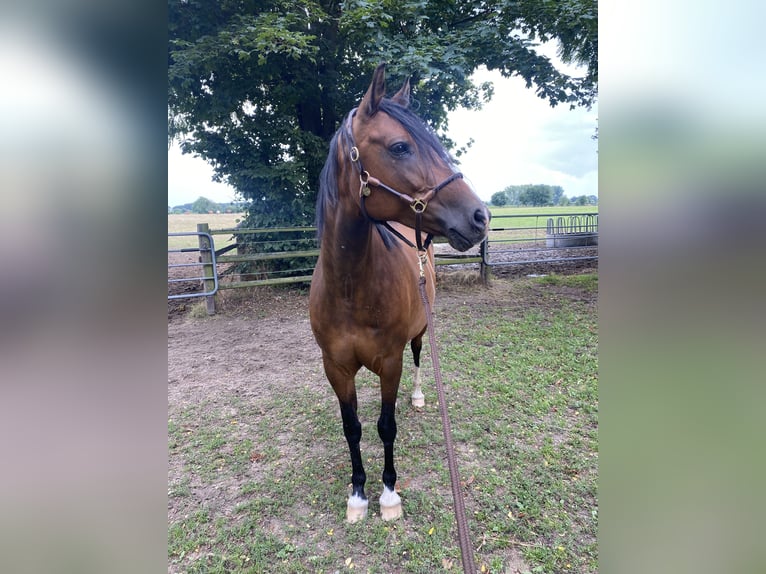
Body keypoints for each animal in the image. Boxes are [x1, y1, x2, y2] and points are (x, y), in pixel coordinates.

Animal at [308, 65, 488, 524]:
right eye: (400, 146)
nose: (480, 216)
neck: (350, 288)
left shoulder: (390, 362)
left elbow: (386, 426)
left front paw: (388, 493)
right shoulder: (335, 367)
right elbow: (352, 427)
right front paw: (358, 494)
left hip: (420, 332)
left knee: (420, 357)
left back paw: (421, 395)